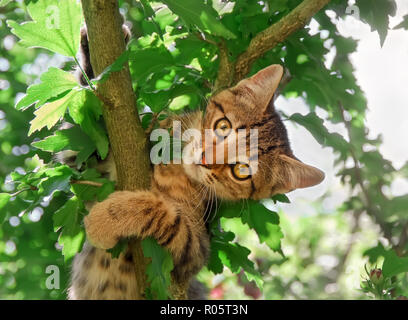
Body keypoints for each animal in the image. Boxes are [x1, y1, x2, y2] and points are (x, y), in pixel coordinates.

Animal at [67, 59, 326, 298]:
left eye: (241, 170)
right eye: (223, 126)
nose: (205, 158)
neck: (176, 170)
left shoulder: (193, 253)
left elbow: (164, 214)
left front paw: (106, 219)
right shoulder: (89, 158)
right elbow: (85, 128)